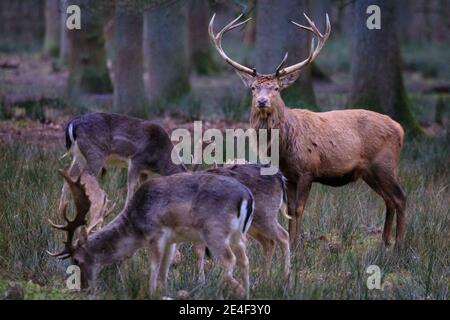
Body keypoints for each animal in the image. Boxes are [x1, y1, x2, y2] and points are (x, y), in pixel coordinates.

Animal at [48, 169, 255, 298]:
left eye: (77, 260)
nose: (83, 288)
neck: (136, 225)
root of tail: (246, 196)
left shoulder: (156, 233)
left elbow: (154, 267)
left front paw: (149, 292)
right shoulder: (172, 240)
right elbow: (164, 269)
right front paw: (163, 291)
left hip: (215, 231)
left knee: (229, 260)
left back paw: (222, 291)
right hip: (238, 235)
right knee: (245, 260)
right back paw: (247, 293)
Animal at [211, 13, 408, 246]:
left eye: (276, 88)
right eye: (253, 88)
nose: (261, 101)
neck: (283, 146)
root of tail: (400, 128)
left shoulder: (308, 169)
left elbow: (298, 209)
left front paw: (296, 243)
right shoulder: (287, 175)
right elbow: (287, 210)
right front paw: (290, 240)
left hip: (385, 164)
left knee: (400, 198)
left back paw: (400, 243)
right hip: (369, 172)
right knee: (388, 199)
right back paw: (385, 242)